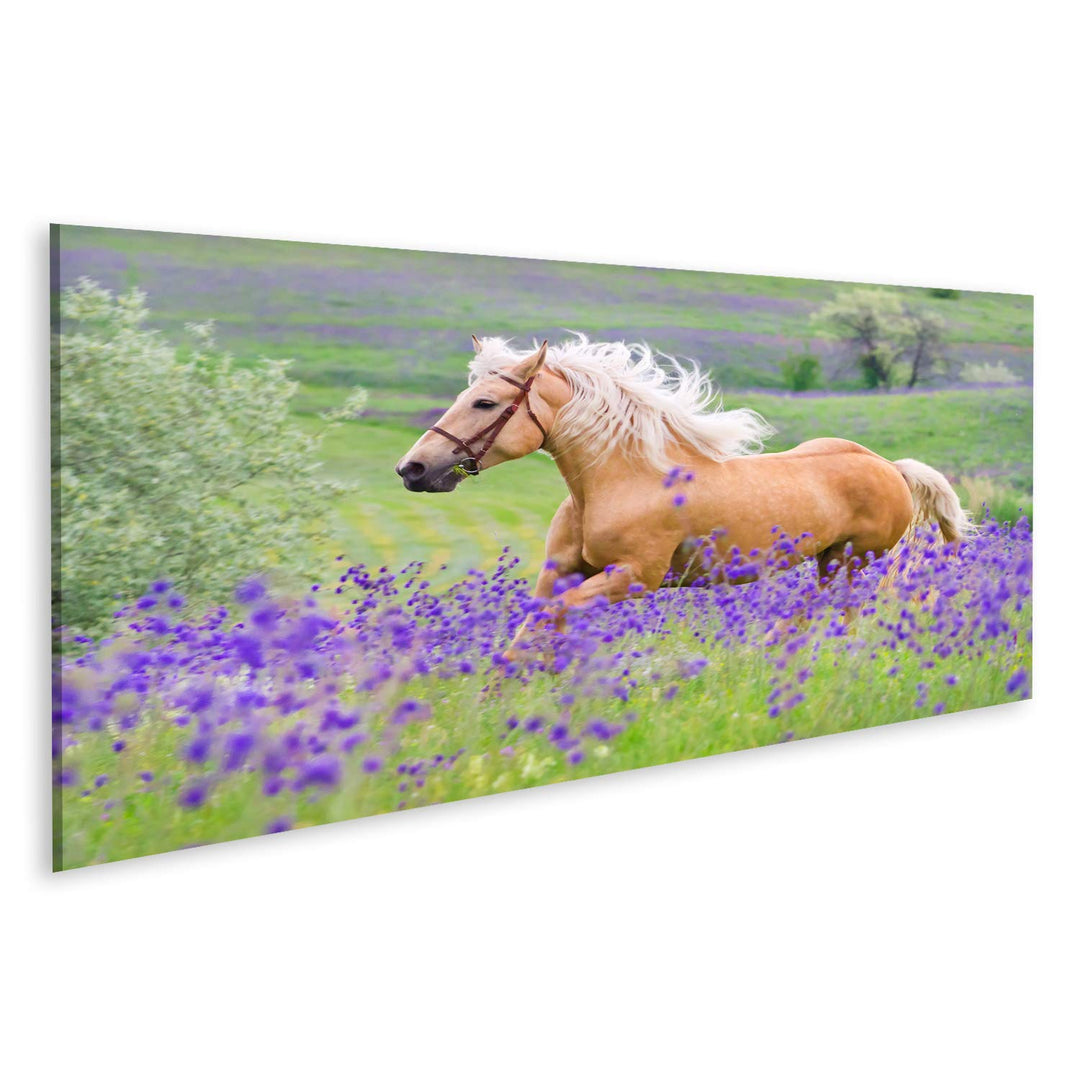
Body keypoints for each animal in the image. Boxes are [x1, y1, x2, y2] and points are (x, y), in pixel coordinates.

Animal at [395, 334, 971, 655]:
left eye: (486, 403)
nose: (412, 468)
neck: (619, 481)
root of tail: (889, 467)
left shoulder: (634, 578)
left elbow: (551, 622)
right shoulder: (560, 574)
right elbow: (529, 633)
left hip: (852, 561)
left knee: (837, 615)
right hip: (831, 560)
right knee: (814, 612)